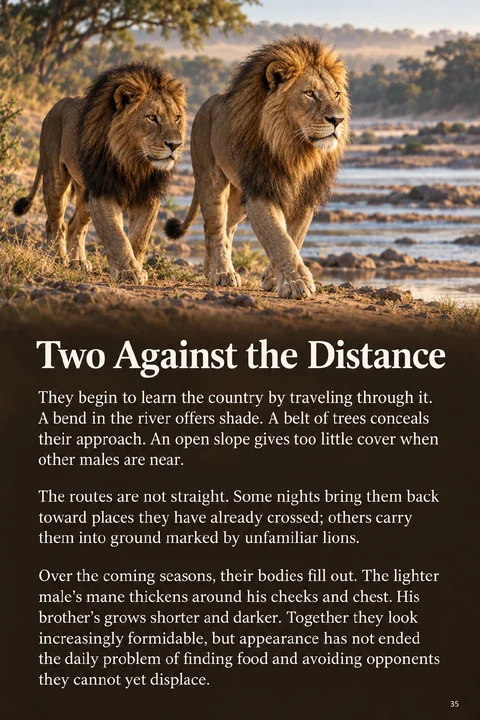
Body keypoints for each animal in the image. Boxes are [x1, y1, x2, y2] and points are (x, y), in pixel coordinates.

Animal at [13, 62, 186, 284]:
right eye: (152, 118)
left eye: (177, 118)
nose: (176, 145)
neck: (134, 162)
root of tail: (54, 106)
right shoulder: (103, 191)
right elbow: (116, 235)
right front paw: (127, 271)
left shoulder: (148, 196)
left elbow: (139, 237)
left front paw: (136, 268)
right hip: (55, 180)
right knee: (54, 223)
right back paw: (58, 257)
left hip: (85, 194)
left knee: (74, 226)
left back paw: (78, 261)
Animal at [165, 36, 349, 299]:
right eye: (309, 94)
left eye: (336, 94)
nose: (338, 120)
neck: (297, 150)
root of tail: (206, 103)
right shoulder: (262, 189)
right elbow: (279, 238)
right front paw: (297, 283)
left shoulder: (305, 197)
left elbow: (293, 238)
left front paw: (274, 279)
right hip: (211, 180)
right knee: (216, 229)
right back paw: (223, 273)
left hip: (239, 197)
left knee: (224, 229)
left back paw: (210, 268)